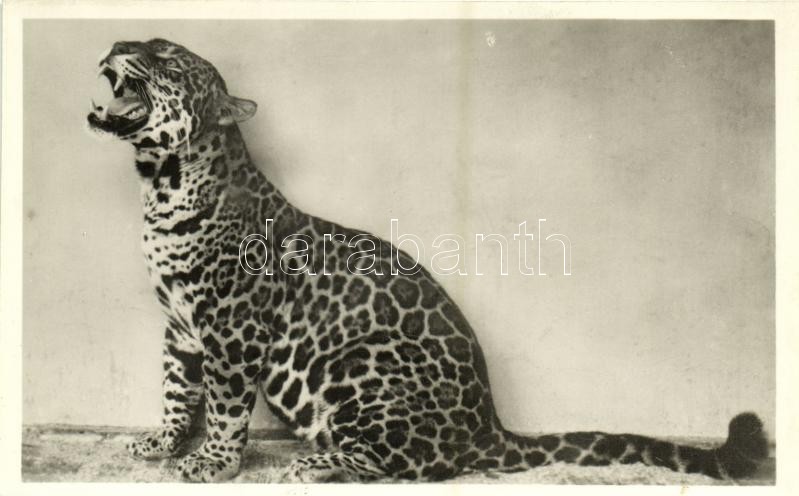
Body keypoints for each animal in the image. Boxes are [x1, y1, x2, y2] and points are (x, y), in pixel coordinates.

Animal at [87, 38, 769, 483]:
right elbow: (178, 391)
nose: (117, 42)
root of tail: (489, 426)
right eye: (139, 43)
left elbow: (225, 405)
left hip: (360, 359)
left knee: (406, 465)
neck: (161, 186)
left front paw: (214, 463)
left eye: (167, 58)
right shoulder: (180, 326)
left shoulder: (234, 331)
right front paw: (162, 442)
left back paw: (318, 464)